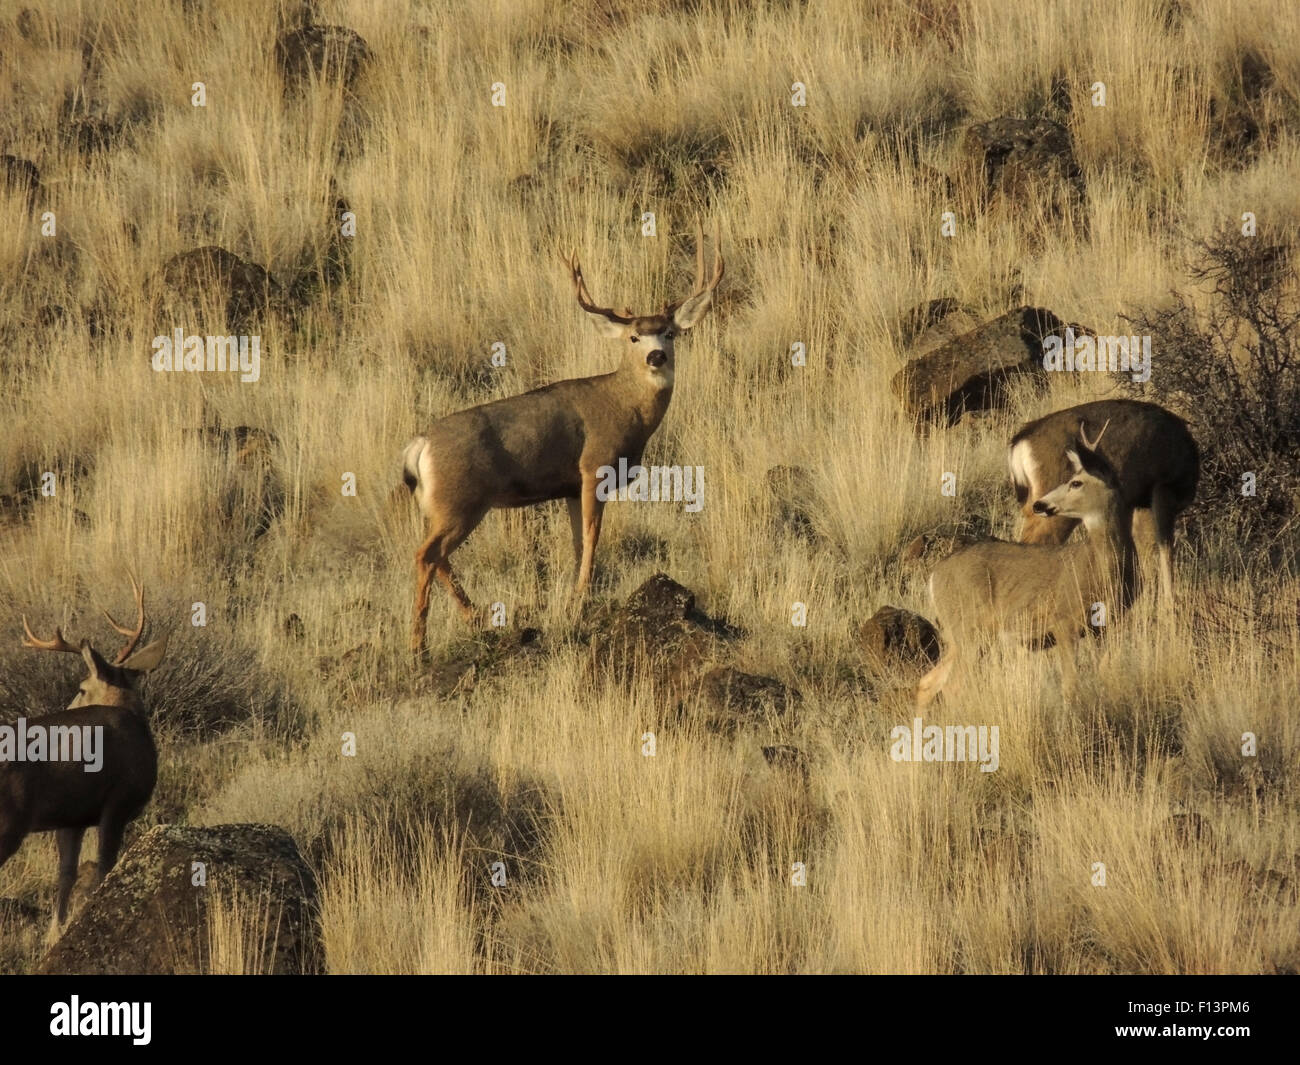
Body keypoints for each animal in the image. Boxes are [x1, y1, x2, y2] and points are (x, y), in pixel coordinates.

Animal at [0, 579, 167, 920]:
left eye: (80, 688)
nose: (66, 706)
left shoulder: (71, 818)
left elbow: (66, 874)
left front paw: (58, 928)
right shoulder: (118, 801)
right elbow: (105, 866)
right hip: (9, 819)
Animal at [400, 218, 728, 650]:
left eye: (669, 334)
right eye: (634, 337)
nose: (655, 356)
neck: (623, 405)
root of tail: (420, 446)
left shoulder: (571, 487)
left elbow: (576, 542)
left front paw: (575, 595)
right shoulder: (594, 467)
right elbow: (592, 537)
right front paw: (580, 600)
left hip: (438, 506)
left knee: (437, 557)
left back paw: (474, 617)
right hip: (459, 500)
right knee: (426, 555)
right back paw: (418, 644)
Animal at [915, 421, 1138, 712]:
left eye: (1076, 482)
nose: (1040, 503)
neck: (1103, 567)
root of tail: (934, 577)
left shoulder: (1107, 628)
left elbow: (1102, 676)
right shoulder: (1062, 621)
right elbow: (1071, 688)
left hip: (957, 638)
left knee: (927, 683)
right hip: (970, 630)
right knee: (952, 687)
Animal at [1003, 400, 1196, 603]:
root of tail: (1019, 443)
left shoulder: (1132, 503)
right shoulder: (1161, 490)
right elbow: (1163, 549)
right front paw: (1167, 604)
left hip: (1031, 503)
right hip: (1049, 504)